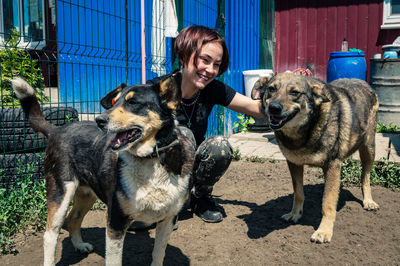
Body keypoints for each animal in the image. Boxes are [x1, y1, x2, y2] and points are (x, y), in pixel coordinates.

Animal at [252, 72, 380, 243]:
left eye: (294, 92)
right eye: (271, 89)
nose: (273, 108)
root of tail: (363, 83)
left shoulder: (332, 165)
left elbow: (328, 202)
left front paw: (324, 231)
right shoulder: (294, 163)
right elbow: (298, 193)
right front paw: (295, 214)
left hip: (368, 149)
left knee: (365, 176)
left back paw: (368, 201)